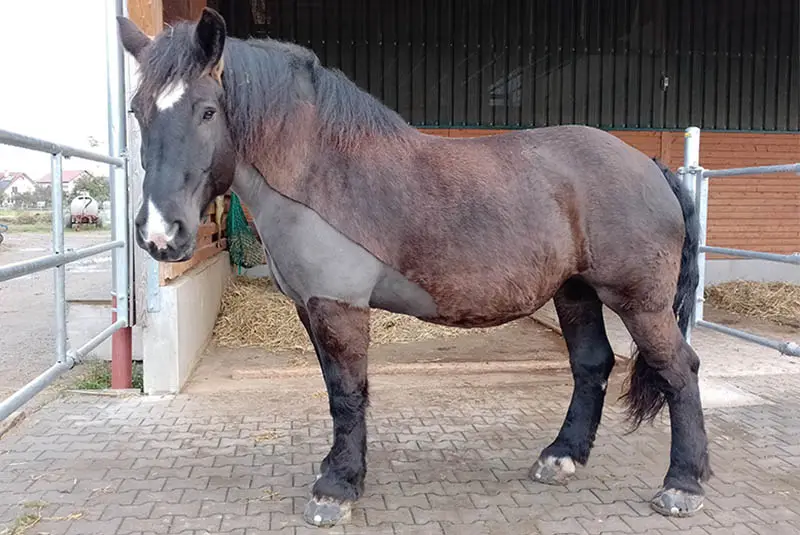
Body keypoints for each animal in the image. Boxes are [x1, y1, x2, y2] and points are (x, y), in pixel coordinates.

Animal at [117, 8, 712, 528]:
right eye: (137, 111)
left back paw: (682, 485)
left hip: (640, 302)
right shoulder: (311, 309)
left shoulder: (339, 308)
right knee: (592, 365)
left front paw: (336, 489)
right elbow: (335, 391)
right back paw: (561, 457)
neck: (323, 171)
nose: (159, 233)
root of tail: (649, 166)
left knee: (680, 369)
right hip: (576, 292)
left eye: (207, 111)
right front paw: (337, 472)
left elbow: (348, 393)